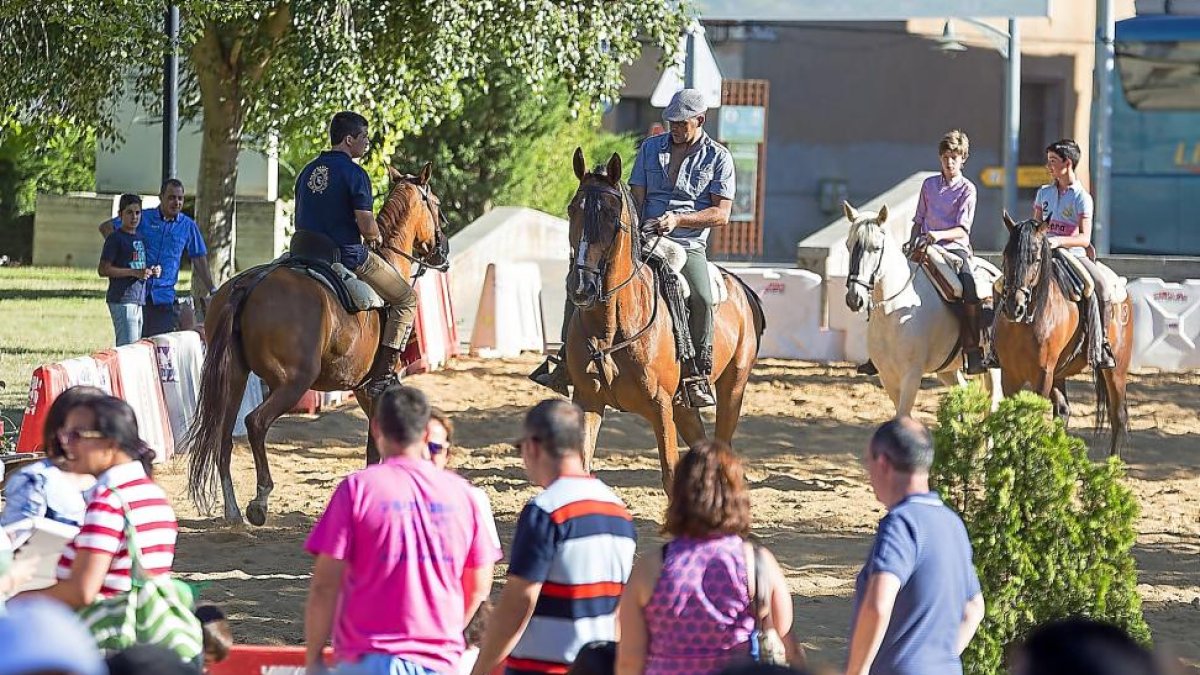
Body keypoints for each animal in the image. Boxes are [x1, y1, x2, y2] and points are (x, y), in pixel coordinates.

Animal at [187, 162, 451, 521]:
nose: (443, 250)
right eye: (434, 204)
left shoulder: (363, 389)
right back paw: (260, 499)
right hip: (293, 381)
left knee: (223, 436)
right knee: (256, 422)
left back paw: (232, 510)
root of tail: (252, 282)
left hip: (234, 377)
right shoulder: (375, 387)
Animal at [566, 149, 763, 492]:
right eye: (571, 210)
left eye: (611, 216)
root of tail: (744, 289)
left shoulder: (660, 406)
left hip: (733, 387)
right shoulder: (588, 399)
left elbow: (670, 474)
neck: (611, 328)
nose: (582, 287)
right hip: (683, 406)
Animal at [844, 199, 1003, 415]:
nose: (855, 298)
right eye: (848, 245)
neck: (892, 312)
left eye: (876, 248)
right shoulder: (887, 376)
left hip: (993, 367)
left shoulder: (911, 375)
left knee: (992, 403)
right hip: (947, 370)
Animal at [988, 212, 1128, 454]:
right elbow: (1012, 419)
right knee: (1063, 410)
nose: (1014, 307)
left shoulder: (1042, 374)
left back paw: (1114, 461)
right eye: (1006, 255)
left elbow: (1030, 419)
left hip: (1116, 370)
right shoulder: (1010, 374)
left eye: (1035, 259)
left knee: (1117, 416)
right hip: (1059, 373)